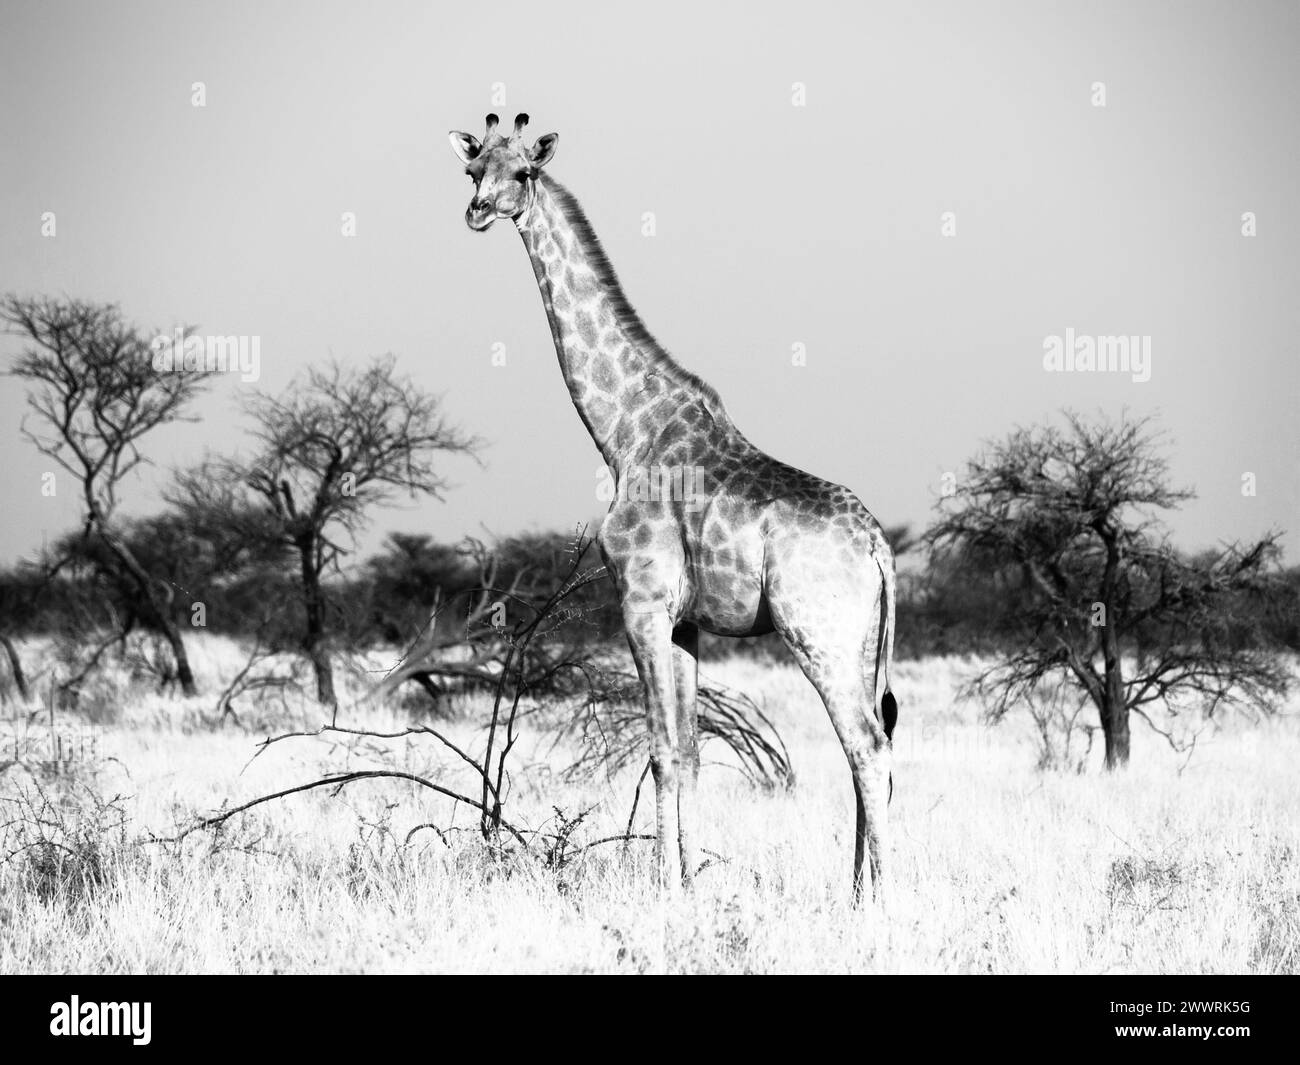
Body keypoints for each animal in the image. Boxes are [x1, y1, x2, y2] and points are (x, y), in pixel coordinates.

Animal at [447, 114, 894, 899]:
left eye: (522, 173)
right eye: (474, 170)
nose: (476, 212)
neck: (623, 429)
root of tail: (879, 545)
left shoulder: (642, 601)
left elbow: (658, 747)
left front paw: (662, 884)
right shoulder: (686, 621)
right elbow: (686, 750)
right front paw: (684, 882)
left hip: (819, 633)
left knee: (868, 745)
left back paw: (894, 893)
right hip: (863, 637)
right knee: (869, 743)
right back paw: (857, 891)